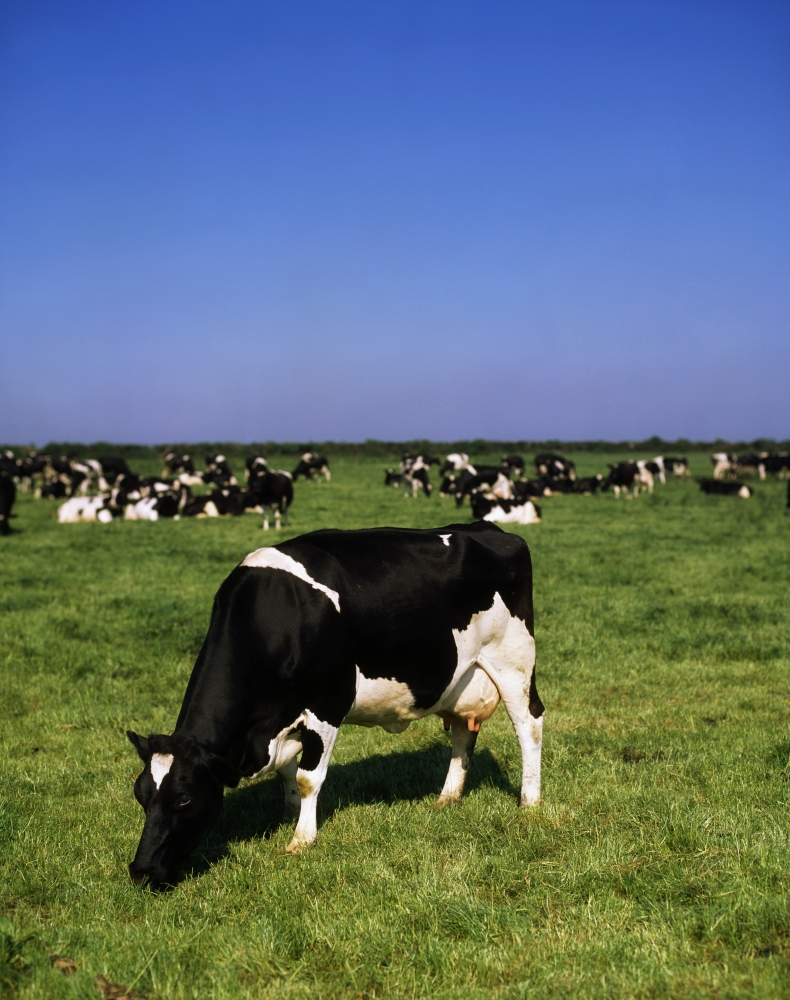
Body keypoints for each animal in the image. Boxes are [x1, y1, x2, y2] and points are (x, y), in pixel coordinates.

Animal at [126, 522, 543, 888]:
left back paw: (529, 801)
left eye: (184, 799)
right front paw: (291, 813)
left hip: (514, 660)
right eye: (140, 795)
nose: (140, 871)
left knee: (530, 724)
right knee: (462, 732)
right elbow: (287, 773)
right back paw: (447, 798)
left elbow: (307, 778)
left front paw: (301, 839)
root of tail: (489, 529)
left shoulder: (327, 705)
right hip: (461, 677)